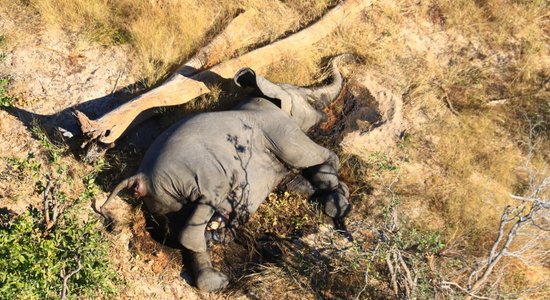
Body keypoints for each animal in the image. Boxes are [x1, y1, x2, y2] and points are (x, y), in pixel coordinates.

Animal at [101, 55, 352, 292]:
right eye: (310, 99)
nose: (345, 57)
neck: (264, 95)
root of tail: (139, 177)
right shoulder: (280, 129)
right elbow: (318, 157)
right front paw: (339, 205)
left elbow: (296, 180)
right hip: (193, 175)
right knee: (202, 210)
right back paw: (216, 251)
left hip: (165, 200)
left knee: (182, 222)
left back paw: (216, 269)